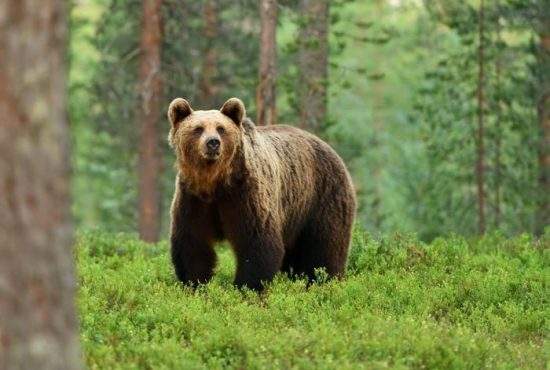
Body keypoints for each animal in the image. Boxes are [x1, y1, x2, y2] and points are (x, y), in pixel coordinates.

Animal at [168, 97, 358, 290]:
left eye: (221, 128)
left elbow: (257, 244)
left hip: (322, 197)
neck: (215, 182)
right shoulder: (193, 199)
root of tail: (329, 148)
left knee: (325, 247)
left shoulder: (245, 195)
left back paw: (325, 281)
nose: (213, 142)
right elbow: (193, 244)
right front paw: (195, 284)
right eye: (198, 128)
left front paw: (246, 288)